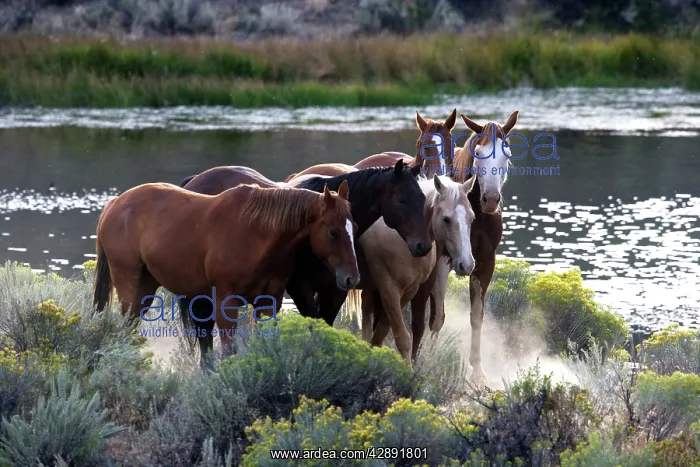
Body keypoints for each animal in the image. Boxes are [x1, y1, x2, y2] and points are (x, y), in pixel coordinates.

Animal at [92, 180, 360, 359]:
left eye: (354, 227)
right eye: (333, 232)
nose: (352, 278)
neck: (255, 233)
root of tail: (114, 204)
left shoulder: (268, 302)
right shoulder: (225, 302)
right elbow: (229, 349)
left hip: (146, 286)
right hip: (129, 285)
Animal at [178, 160, 431, 357]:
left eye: (422, 198)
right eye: (401, 200)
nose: (424, 245)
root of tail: (194, 181)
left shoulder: (334, 291)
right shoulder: (300, 288)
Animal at [347, 174, 477, 364]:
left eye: (472, 218)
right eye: (446, 219)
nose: (466, 264)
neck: (404, 240)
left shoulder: (409, 291)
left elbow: (381, 334)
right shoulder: (389, 289)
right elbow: (403, 339)